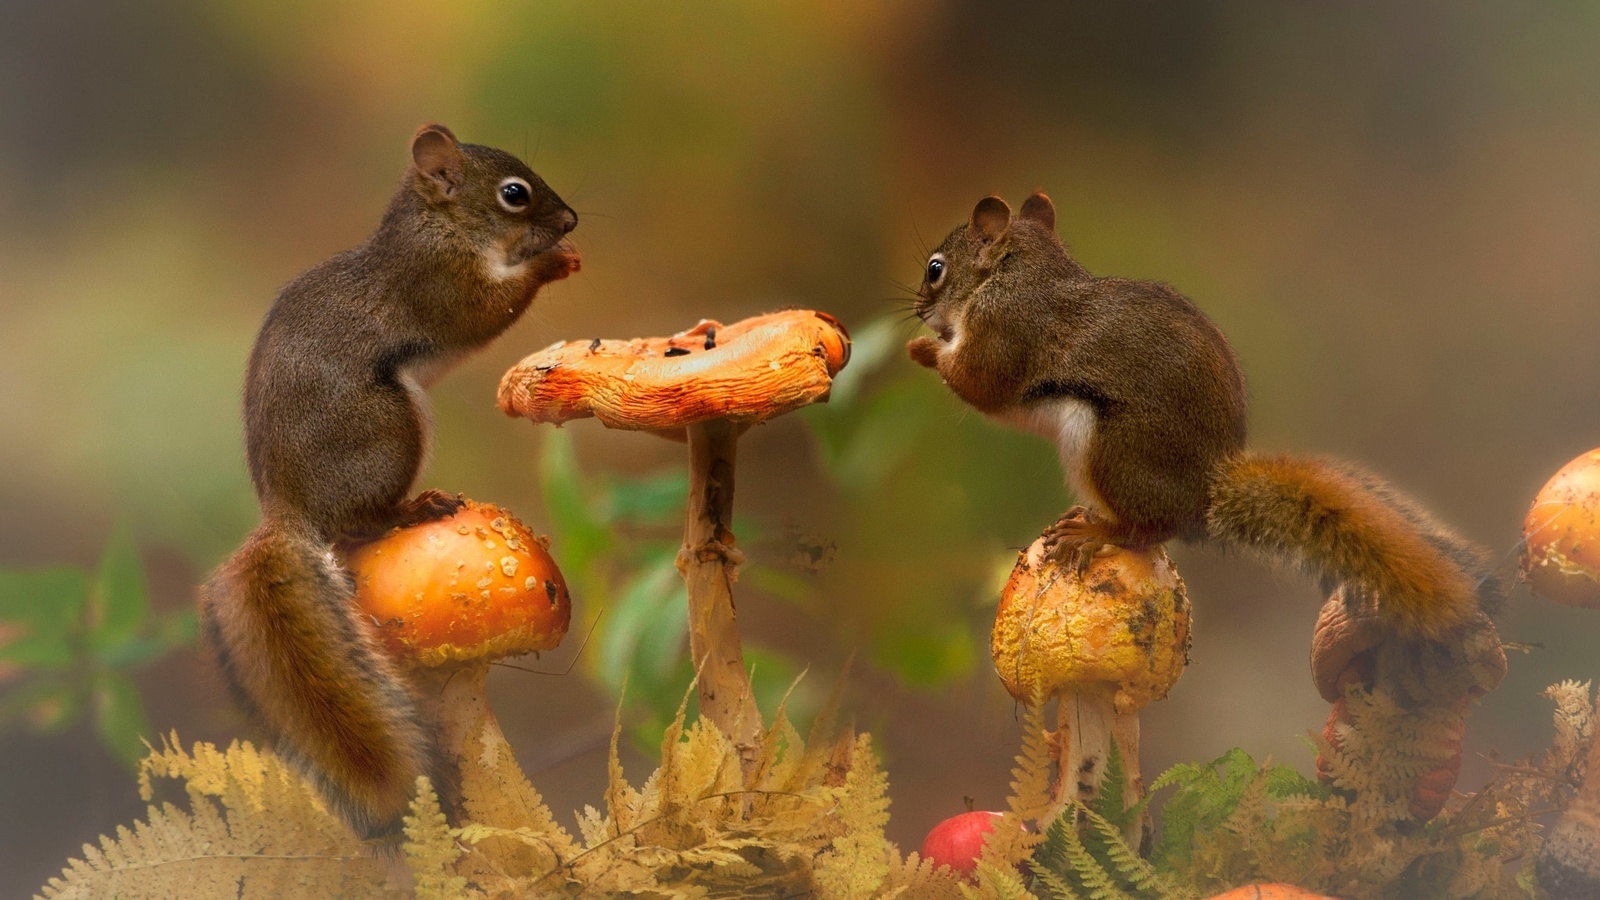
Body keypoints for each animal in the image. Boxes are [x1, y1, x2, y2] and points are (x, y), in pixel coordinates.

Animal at [196, 122, 579, 839]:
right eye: (514, 194)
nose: (571, 221)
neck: (443, 229)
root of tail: (290, 509)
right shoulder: (437, 285)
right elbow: (486, 312)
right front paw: (551, 265)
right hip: (389, 429)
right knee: (359, 520)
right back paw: (415, 507)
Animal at [908, 192, 1504, 634]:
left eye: (936, 269)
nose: (917, 310)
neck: (1016, 274)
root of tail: (1204, 498)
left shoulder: (1005, 332)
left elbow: (979, 383)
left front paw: (923, 350)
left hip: (1111, 452)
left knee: (1148, 530)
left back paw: (1096, 532)